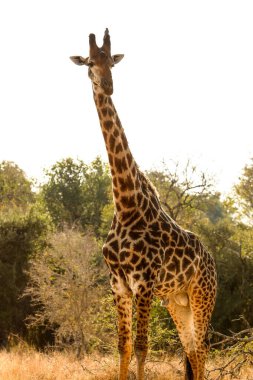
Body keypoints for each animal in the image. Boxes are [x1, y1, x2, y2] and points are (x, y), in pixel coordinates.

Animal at [70, 28, 216, 378]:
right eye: (90, 63)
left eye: (111, 62)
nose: (108, 85)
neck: (125, 203)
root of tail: (212, 262)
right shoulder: (119, 284)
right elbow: (122, 346)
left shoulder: (145, 282)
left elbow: (141, 346)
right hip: (177, 301)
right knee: (192, 350)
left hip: (202, 295)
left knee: (202, 349)